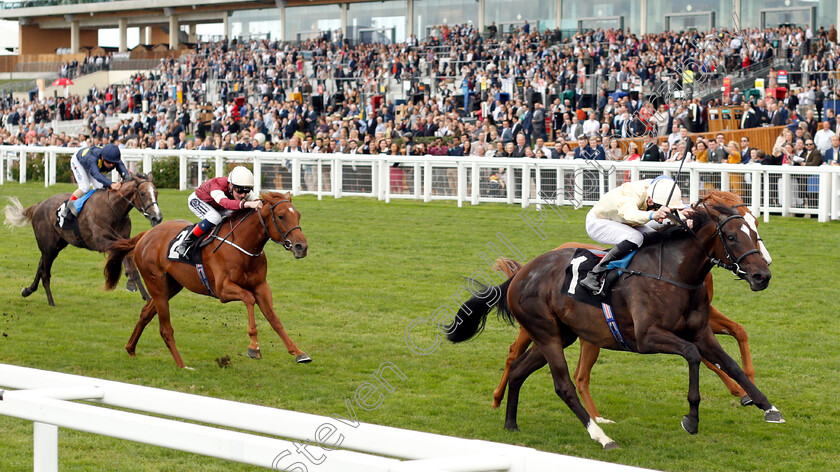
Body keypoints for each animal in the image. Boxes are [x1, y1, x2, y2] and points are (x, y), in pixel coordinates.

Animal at [2, 173, 162, 306]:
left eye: (156, 193)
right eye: (142, 193)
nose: (157, 218)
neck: (114, 208)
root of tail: (38, 205)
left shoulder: (123, 238)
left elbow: (132, 267)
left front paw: (145, 295)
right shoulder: (103, 242)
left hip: (55, 245)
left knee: (41, 266)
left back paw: (28, 290)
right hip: (48, 246)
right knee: (45, 273)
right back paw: (51, 302)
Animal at [103, 192, 310, 368]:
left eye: (298, 215)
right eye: (281, 216)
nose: (302, 246)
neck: (243, 246)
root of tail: (146, 235)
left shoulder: (261, 287)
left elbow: (274, 319)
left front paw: (298, 352)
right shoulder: (223, 290)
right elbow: (249, 299)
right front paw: (253, 347)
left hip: (171, 286)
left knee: (146, 313)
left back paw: (130, 348)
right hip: (156, 283)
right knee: (165, 328)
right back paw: (182, 365)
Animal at [446, 195, 780, 450]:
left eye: (755, 230)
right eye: (732, 237)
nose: (762, 275)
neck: (674, 272)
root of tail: (521, 273)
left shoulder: (701, 331)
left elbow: (731, 365)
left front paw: (768, 406)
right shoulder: (648, 337)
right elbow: (694, 356)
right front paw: (692, 418)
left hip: (560, 335)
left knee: (519, 370)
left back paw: (511, 424)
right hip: (546, 333)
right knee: (563, 384)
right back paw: (602, 436)